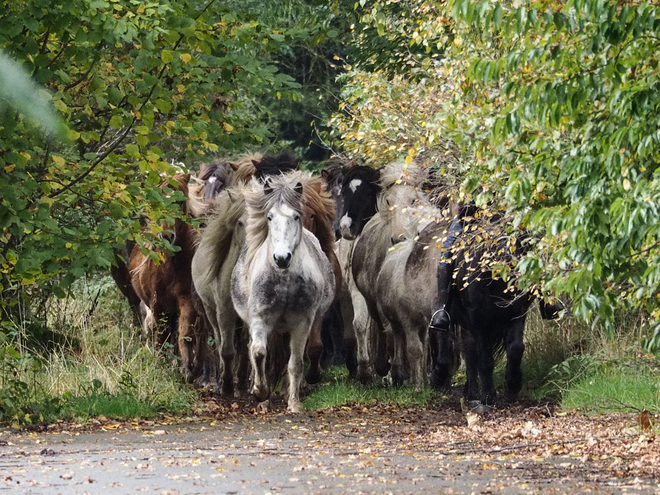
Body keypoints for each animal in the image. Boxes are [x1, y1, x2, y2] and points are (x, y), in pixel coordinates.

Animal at [232, 176, 336, 412]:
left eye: (296, 216)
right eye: (270, 217)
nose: (281, 258)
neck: (285, 280)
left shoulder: (302, 322)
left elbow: (296, 362)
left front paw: (294, 404)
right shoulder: (260, 319)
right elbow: (259, 353)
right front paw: (261, 393)